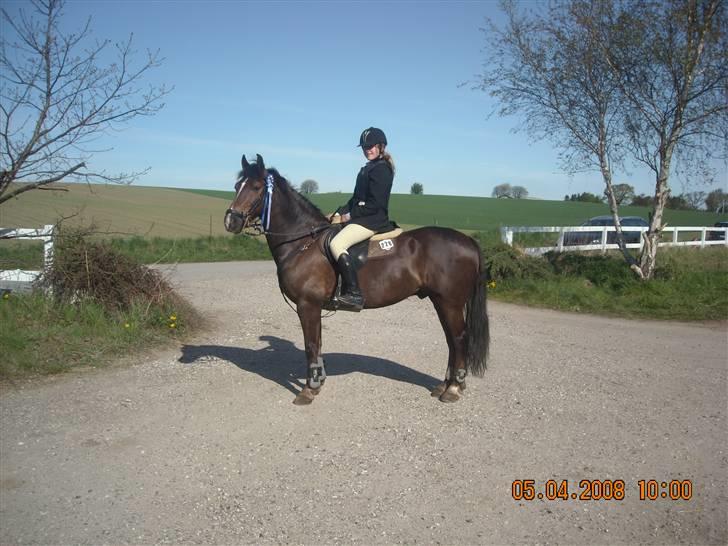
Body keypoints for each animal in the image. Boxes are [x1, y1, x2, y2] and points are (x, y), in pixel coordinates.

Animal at [225, 153, 492, 404]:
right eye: (237, 185)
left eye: (257, 187)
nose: (231, 221)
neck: (302, 243)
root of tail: (468, 241)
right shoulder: (313, 307)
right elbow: (317, 344)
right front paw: (318, 382)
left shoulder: (307, 305)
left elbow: (311, 346)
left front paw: (308, 390)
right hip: (441, 302)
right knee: (451, 340)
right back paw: (445, 385)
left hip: (450, 303)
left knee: (459, 339)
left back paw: (454, 389)